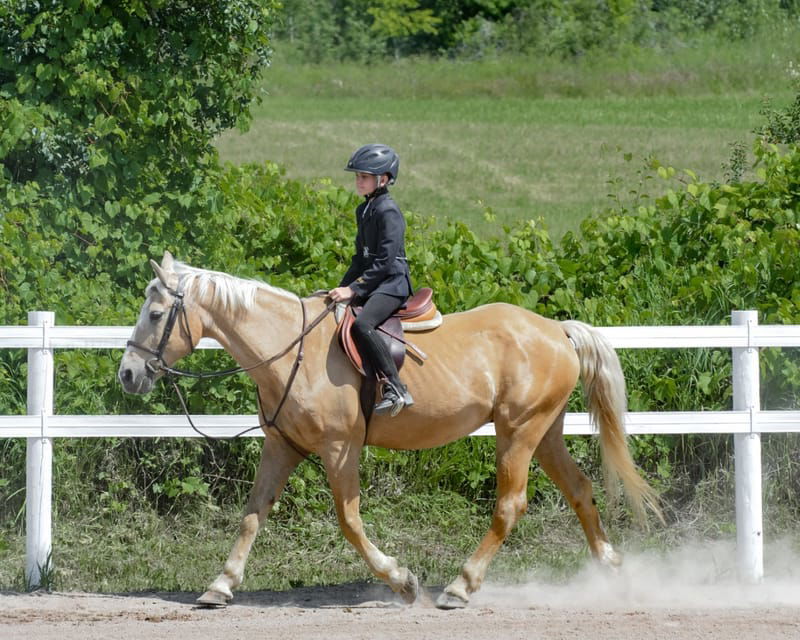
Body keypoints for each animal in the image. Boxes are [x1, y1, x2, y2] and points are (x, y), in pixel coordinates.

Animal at [115, 251, 660, 608]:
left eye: (157, 313)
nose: (128, 374)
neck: (291, 351)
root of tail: (556, 329)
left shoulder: (339, 448)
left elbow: (349, 522)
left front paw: (402, 580)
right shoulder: (282, 446)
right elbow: (253, 514)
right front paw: (221, 585)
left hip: (518, 434)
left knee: (510, 505)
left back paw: (460, 586)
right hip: (542, 431)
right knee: (580, 488)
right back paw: (609, 568)